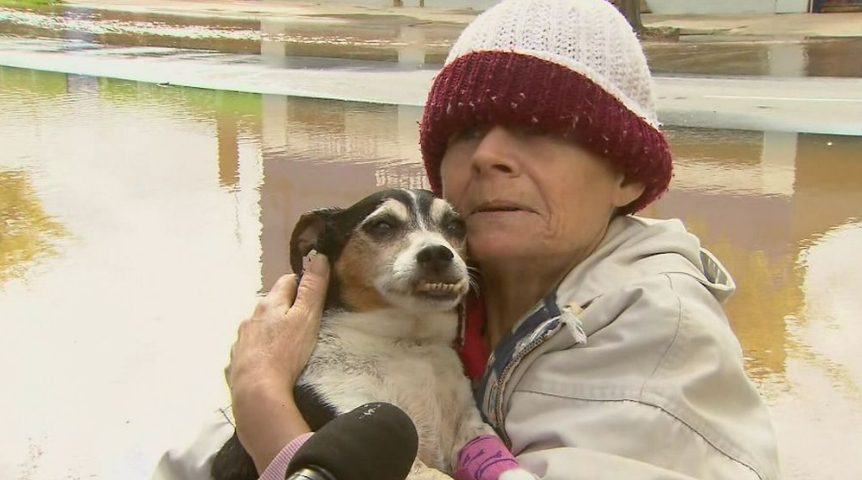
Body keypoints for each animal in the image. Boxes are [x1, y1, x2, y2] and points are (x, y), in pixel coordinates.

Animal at [213, 189, 528, 480]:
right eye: (382, 225)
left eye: (455, 225)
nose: (437, 253)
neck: (408, 343)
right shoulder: (363, 427)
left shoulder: (470, 428)